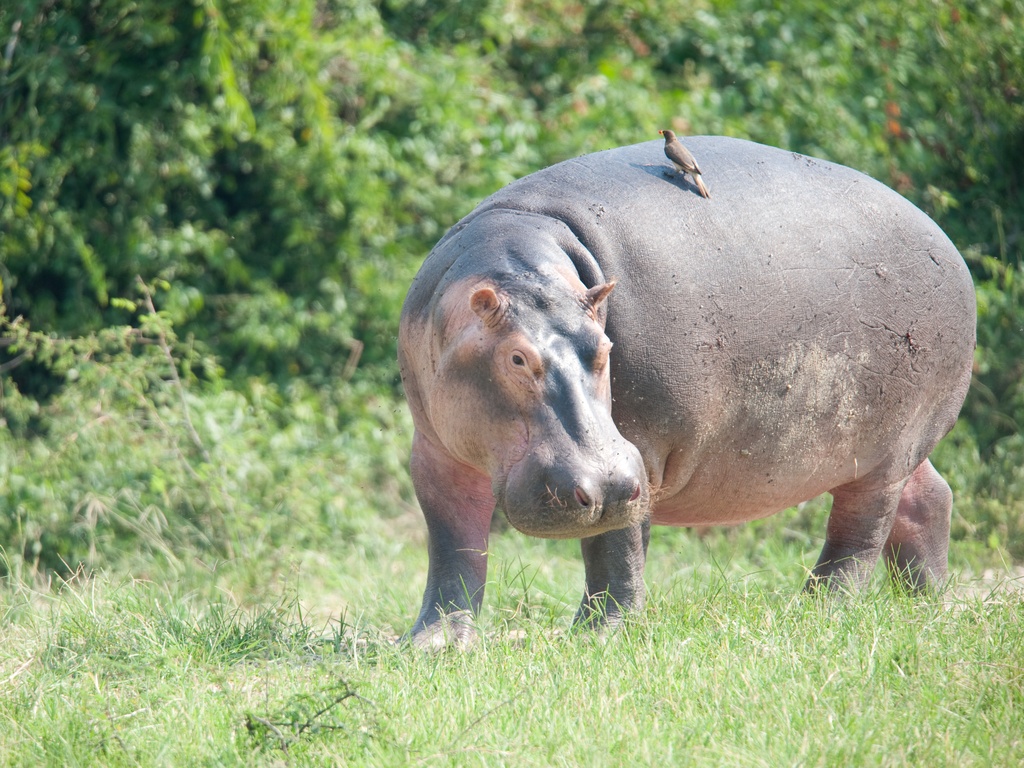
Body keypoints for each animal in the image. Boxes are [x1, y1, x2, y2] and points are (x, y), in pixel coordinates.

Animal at [397, 136, 976, 649]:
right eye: (516, 357)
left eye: (605, 345)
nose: (606, 485)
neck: (514, 261)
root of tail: (946, 241)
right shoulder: (434, 454)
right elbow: (453, 546)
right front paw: (433, 644)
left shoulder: (641, 456)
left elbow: (616, 547)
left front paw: (599, 638)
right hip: (896, 452)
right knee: (930, 497)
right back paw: (928, 603)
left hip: (886, 450)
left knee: (860, 533)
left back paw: (817, 611)